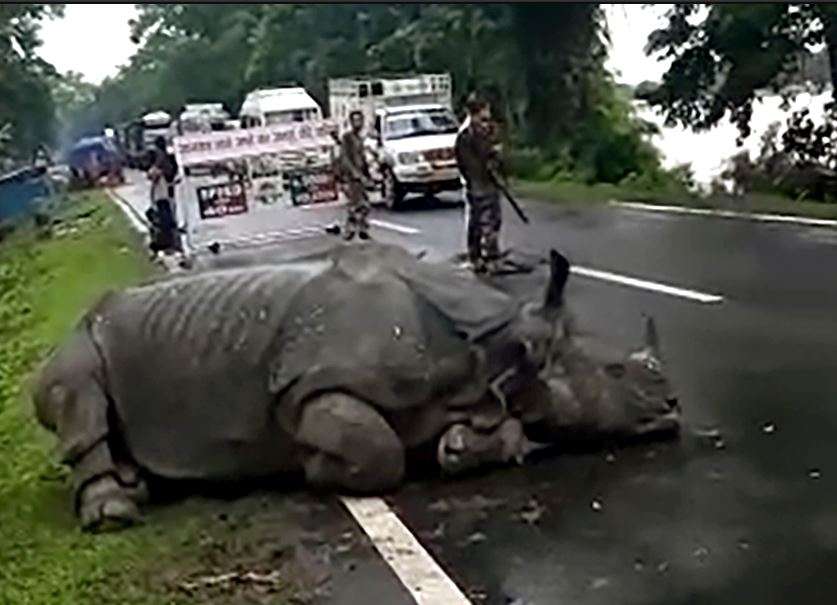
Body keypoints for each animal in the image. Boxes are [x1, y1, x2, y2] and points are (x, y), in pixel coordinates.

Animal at [33, 241, 680, 531]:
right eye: (616, 374)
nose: (674, 407)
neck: (497, 351)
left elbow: (497, 431)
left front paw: (459, 447)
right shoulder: (307, 392)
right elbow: (377, 451)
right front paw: (317, 471)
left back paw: (138, 483)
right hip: (77, 341)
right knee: (74, 387)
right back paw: (115, 512)